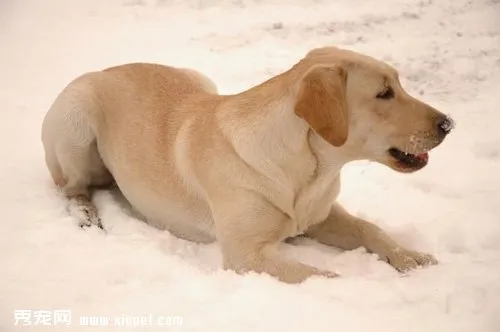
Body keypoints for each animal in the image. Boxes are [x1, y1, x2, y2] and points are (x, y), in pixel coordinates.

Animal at [41, 45, 454, 282]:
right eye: (384, 94)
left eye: (399, 85)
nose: (448, 123)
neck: (309, 169)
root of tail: (108, 68)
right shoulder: (246, 255)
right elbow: (324, 277)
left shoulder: (319, 215)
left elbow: (371, 230)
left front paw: (411, 257)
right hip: (76, 117)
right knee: (72, 188)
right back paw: (87, 216)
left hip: (199, 78)